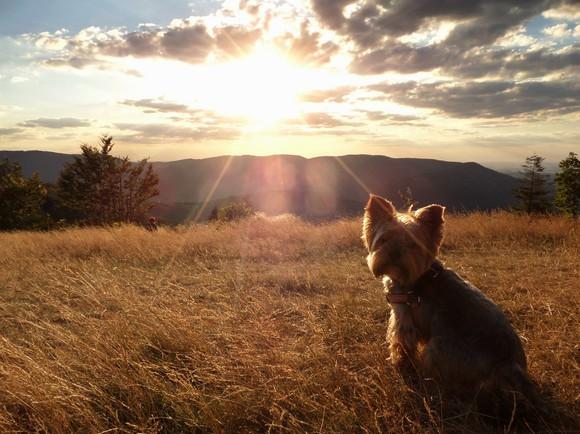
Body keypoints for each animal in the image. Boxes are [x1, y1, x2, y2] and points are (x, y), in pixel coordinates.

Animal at [360, 195, 532, 406]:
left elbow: (401, 343)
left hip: (438, 348)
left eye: (413, 244)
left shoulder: (403, 318)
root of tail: (508, 368)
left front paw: (401, 365)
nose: (394, 253)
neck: (418, 277)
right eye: (384, 239)